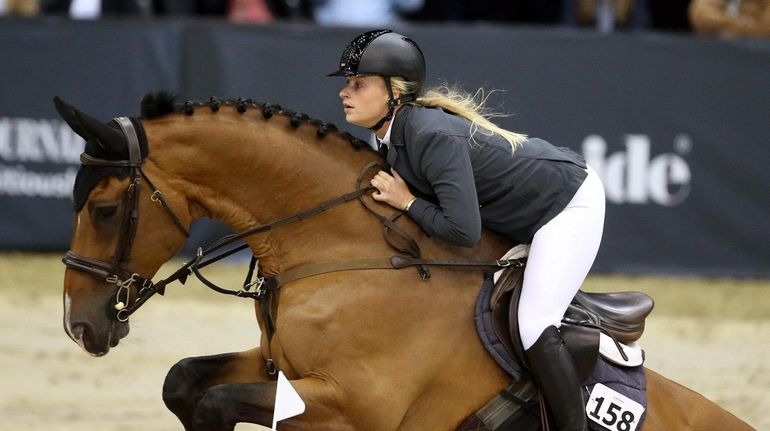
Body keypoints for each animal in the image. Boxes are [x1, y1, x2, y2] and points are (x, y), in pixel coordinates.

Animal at [55, 95, 752, 431]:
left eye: (107, 210)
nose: (79, 326)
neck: (344, 253)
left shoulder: (356, 404)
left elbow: (217, 402)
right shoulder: (279, 365)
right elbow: (185, 382)